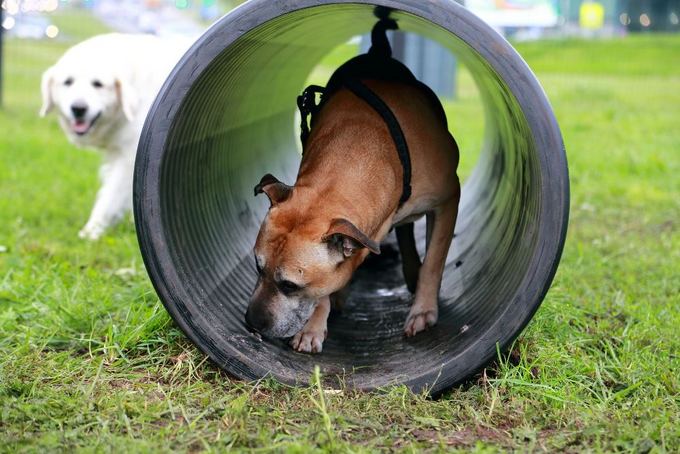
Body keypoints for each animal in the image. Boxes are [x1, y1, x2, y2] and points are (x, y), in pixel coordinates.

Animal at [40, 33, 190, 239]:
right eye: (68, 82)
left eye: (98, 84)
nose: (78, 108)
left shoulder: (130, 159)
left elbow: (110, 197)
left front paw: (91, 231)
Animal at [242, 17, 460, 352]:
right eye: (257, 267)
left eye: (289, 285)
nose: (251, 323)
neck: (359, 151)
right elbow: (325, 291)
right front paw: (315, 325)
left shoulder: (448, 199)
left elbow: (434, 262)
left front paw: (423, 311)